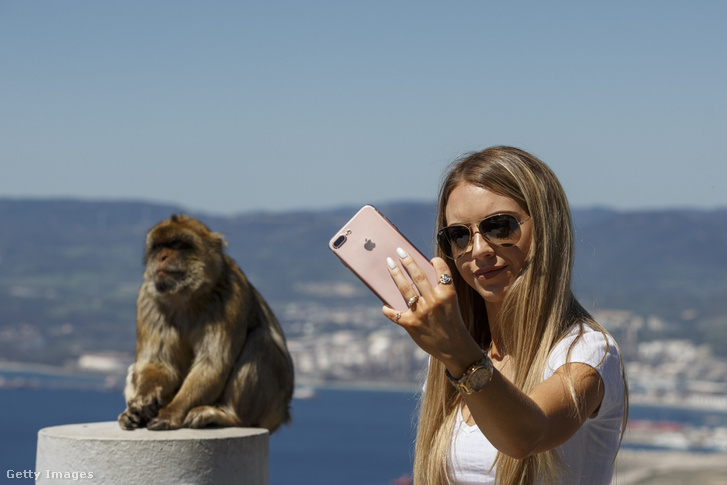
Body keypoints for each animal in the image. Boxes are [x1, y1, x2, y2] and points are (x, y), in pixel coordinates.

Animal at [118, 214, 294, 432]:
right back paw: (131, 416)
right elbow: (157, 363)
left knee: (261, 342)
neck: (186, 297)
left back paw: (228, 416)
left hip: (273, 410)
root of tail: (283, 414)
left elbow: (212, 364)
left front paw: (170, 413)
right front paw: (143, 401)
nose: (161, 257)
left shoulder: (230, 295)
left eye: (177, 244)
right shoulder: (148, 300)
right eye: (158, 246)